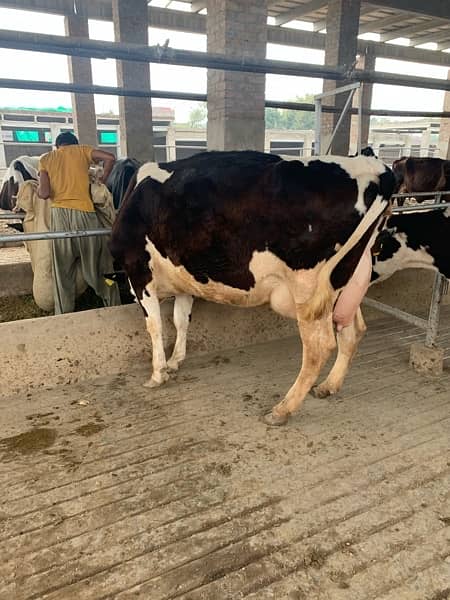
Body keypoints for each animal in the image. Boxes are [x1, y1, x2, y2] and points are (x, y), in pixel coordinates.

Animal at [110, 150, 396, 424]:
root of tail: (375, 167)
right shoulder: (184, 279)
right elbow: (181, 320)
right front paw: (174, 361)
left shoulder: (138, 272)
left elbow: (155, 325)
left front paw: (157, 374)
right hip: (346, 281)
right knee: (353, 330)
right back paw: (328, 386)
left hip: (309, 288)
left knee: (319, 346)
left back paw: (281, 410)